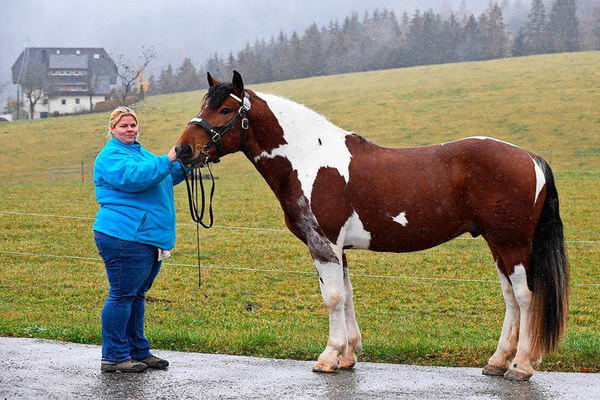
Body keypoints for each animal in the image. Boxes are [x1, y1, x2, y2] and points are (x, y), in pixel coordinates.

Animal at [176, 72, 568, 382]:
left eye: (225, 110)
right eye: (204, 104)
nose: (183, 150)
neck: (309, 159)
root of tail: (530, 158)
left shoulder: (323, 245)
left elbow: (333, 298)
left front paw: (328, 357)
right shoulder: (339, 249)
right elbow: (347, 295)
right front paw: (348, 356)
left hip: (512, 243)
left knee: (524, 297)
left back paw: (520, 366)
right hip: (498, 244)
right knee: (510, 298)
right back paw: (498, 362)